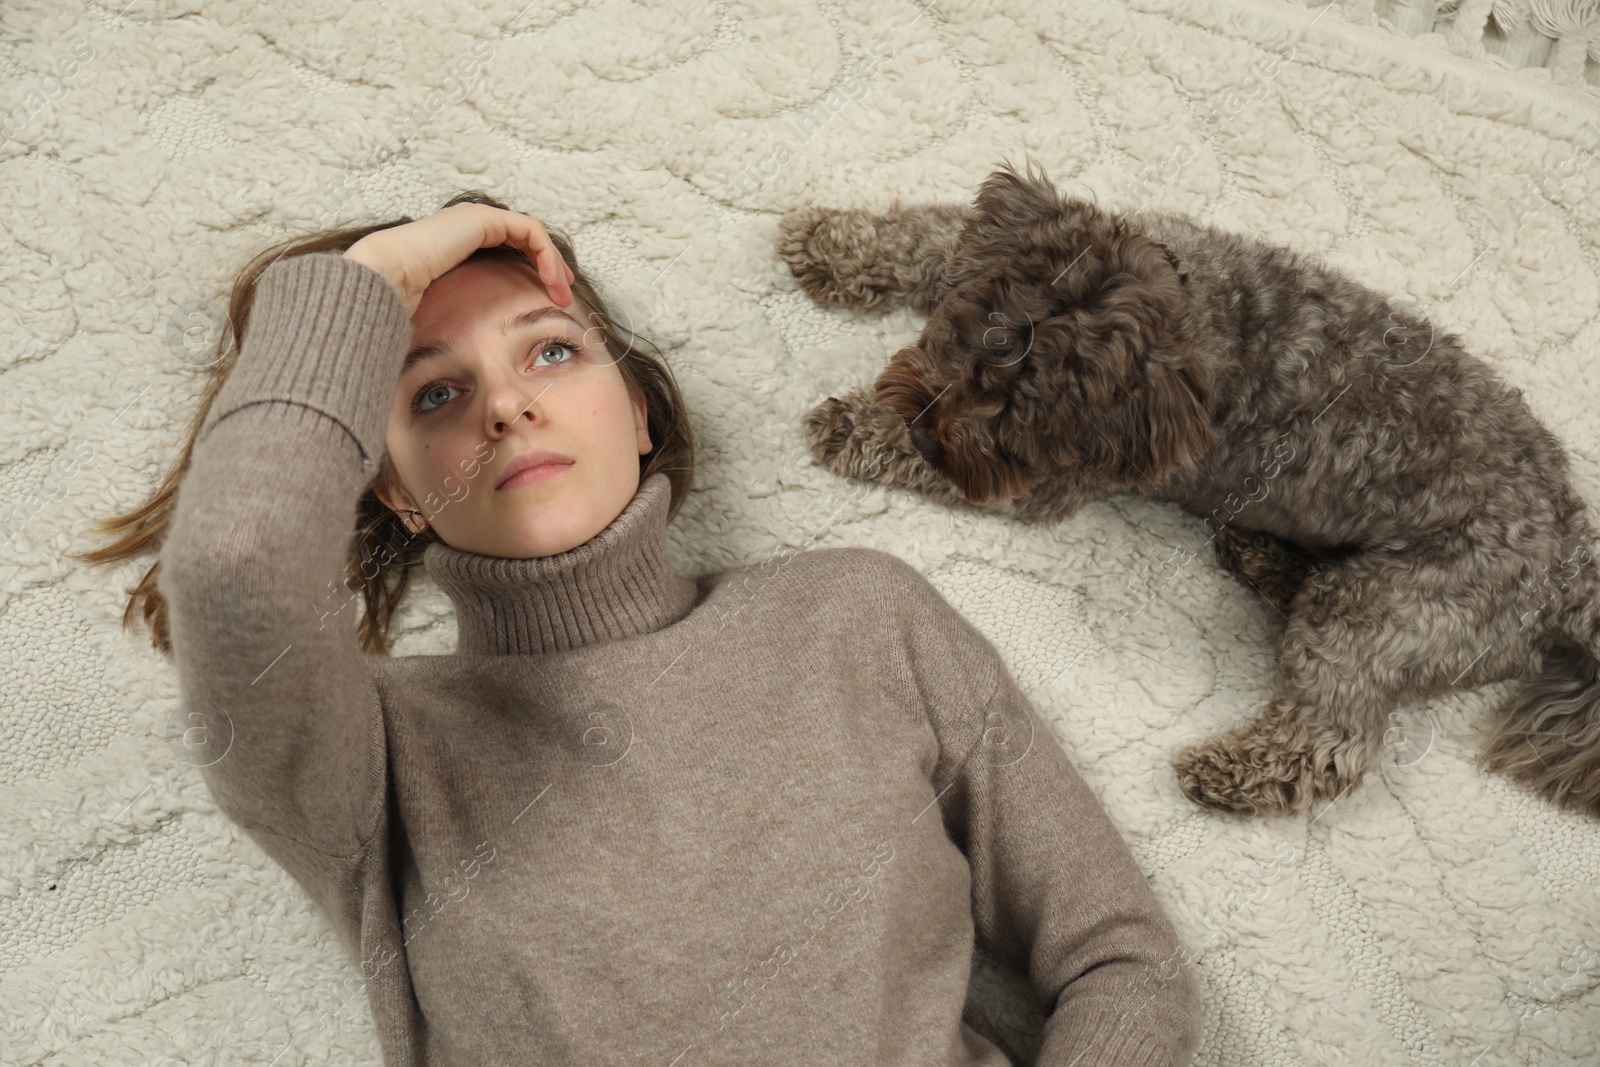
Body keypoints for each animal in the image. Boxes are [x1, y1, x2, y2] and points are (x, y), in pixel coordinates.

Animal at [774, 158, 1600, 825]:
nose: (927, 430)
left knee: (1330, 742)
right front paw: (833, 240)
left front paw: (856, 424)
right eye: (978, 332)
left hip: (1390, 606)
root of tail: (1569, 563)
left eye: (1031, 423)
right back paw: (1264, 559)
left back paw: (1229, 771)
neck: (1195, 309)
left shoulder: (1043, 484)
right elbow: (935, 237)